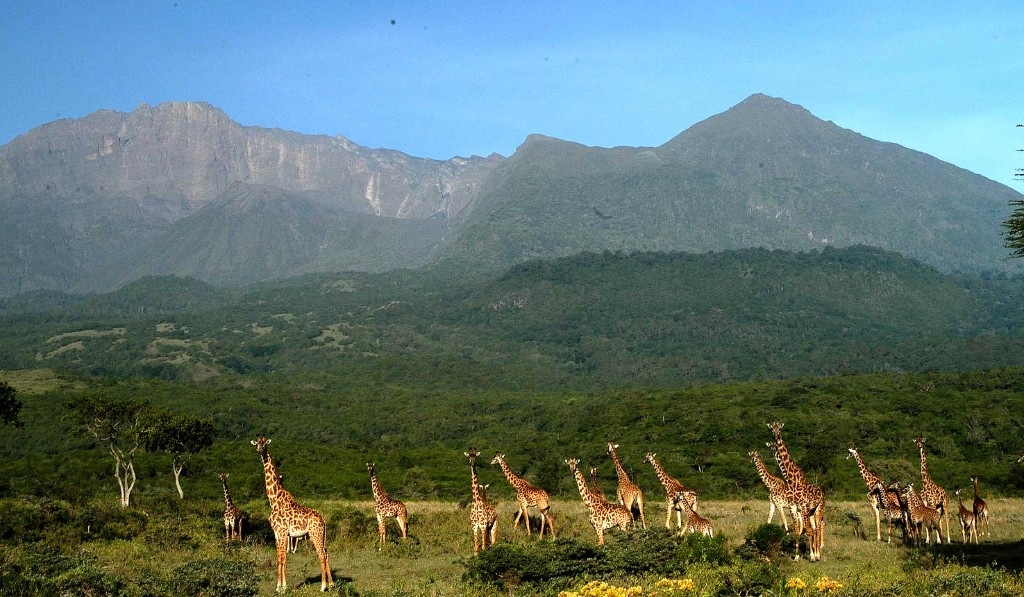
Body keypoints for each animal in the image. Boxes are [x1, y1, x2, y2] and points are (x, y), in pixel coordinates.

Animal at [251, 436, 333, 592]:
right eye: (257, 443)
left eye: (265, 444)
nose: (260, 450)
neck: (274, 500)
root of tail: (323, 520)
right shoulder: (277, 533)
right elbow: (279, 557)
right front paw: (279, 586)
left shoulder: (282, 532)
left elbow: (283, 557)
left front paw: (282, 587)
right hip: (321, 535)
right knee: (326, 552)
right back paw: (332, 584)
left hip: (315, 534)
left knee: (321, 554)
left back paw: (323, 586)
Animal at [768, 422, 825, 562]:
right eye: (772, 428)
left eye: (779, 428)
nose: (776, 436)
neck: (792, 480)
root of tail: (822, 492)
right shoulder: (794, 507)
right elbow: (797, 530)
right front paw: (797, 557)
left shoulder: (803, 506)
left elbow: (806, 530)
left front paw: (812, 556)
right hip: (810, 511)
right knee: (814, 528)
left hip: (818, 508)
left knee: (817, 527)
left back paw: (818, 554)